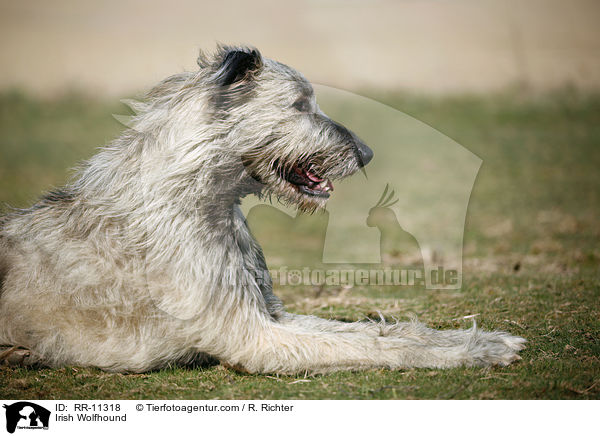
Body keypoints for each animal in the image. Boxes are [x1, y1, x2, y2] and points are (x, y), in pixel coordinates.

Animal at [0, 46, 524, 374]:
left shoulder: (271, 315)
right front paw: (475, 350)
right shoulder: (253, 337)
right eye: (300, 104)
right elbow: (368, 343)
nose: (367, 153)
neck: (195, 197)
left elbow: (377, 330)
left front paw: (477, 339)